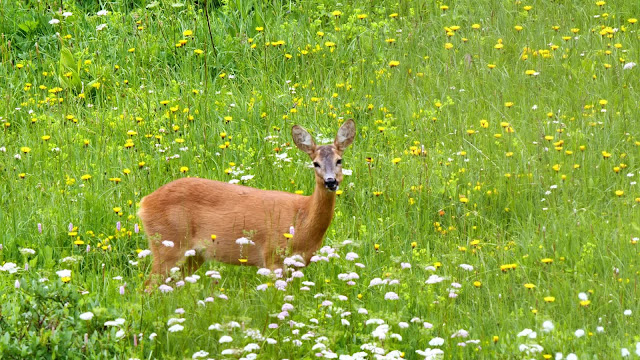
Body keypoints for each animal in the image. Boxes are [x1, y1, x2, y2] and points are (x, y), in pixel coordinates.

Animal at [138, 120, 356, 290]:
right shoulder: (272, 256)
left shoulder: (297, 265)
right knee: (147, 286)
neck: (302, 219)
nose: (330, 181)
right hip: (167, 244)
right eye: (315, 163)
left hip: (193, 255)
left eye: (339, 160)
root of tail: (144, 203)